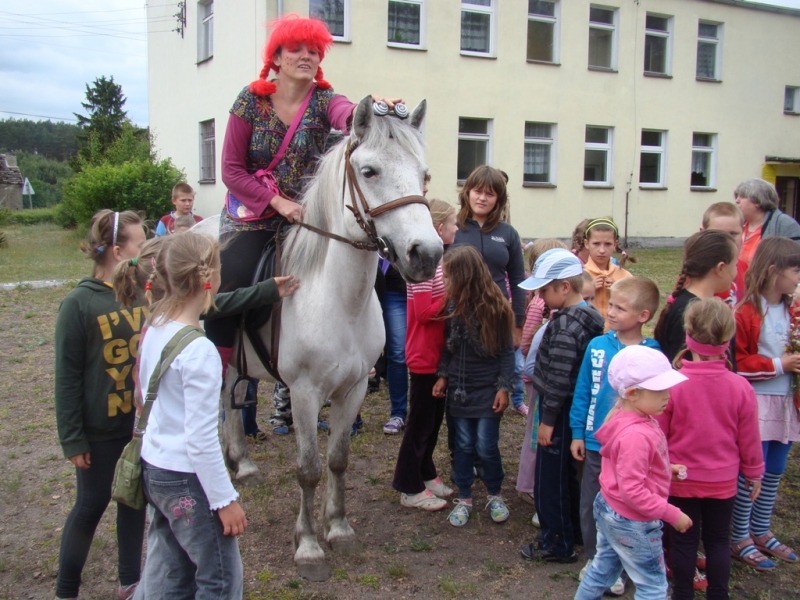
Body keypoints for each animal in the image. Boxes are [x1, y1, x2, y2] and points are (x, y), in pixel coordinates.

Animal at [195, 96, 444, 580]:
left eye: (424, 173)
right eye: (369, 171)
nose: (426, 254)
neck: (336, 299)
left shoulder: (354, 388)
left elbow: (338, 460)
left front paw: (339, 528)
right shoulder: (305, 393)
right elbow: (308, 469)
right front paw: (308, 544)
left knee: (229, 401)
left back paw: (242, 464)